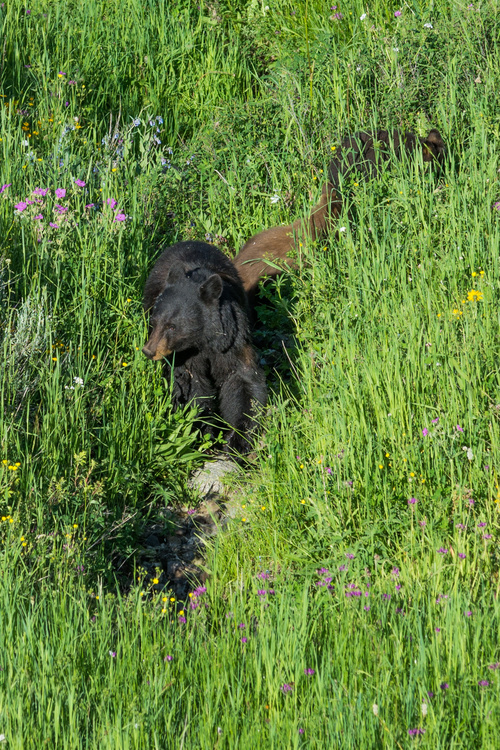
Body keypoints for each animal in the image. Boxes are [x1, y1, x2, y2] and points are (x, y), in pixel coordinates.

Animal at [142, 240, 267, 455]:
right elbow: (192, 385)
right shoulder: (184, 354)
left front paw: (237, 439)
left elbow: (241, 379)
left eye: (172, 326)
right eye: (155, 321)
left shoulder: (232, 340)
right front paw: (204, 431)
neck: (204, 340)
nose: (149, 351)